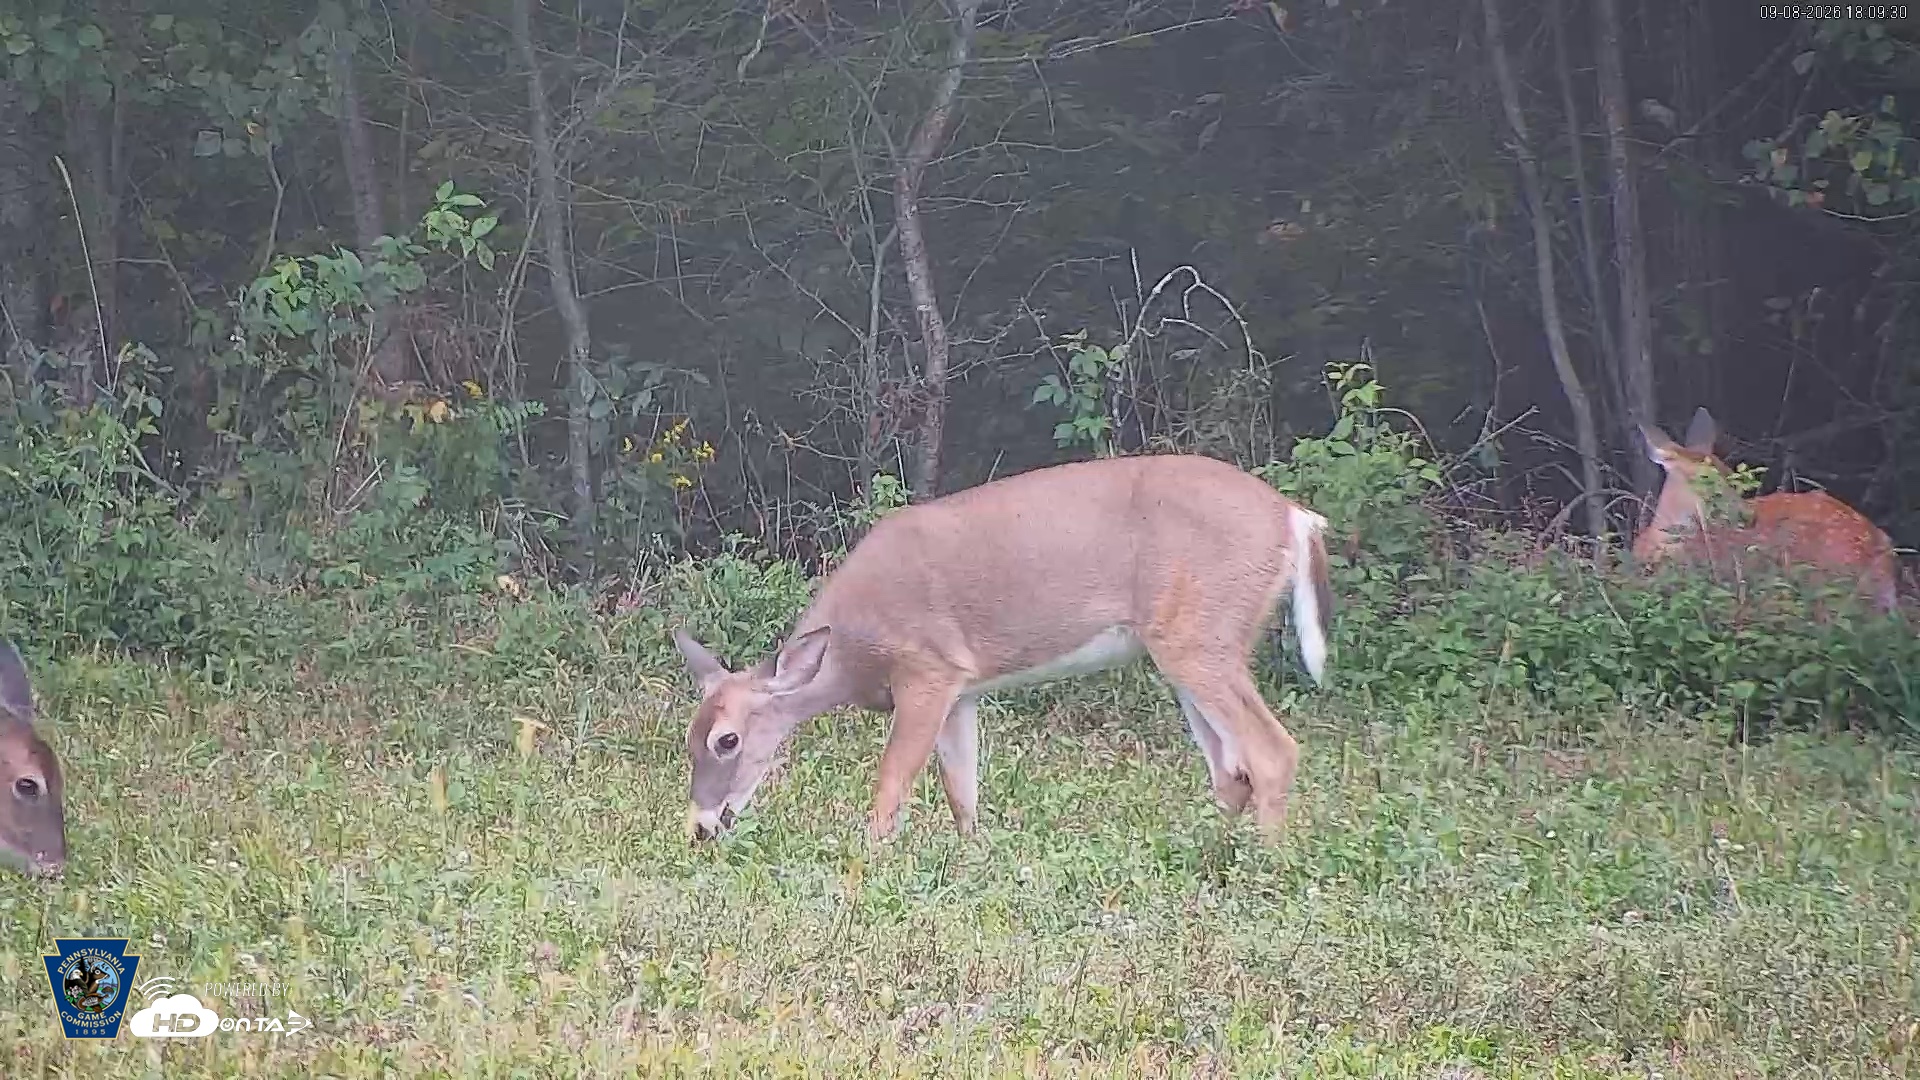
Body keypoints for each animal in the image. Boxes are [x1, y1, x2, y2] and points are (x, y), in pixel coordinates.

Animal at [670, 453, 1334, 847]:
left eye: (726, 740)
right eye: (687, 739)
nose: (701, 827)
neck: (855, 651)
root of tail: (1295, 518)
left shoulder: (927, 669)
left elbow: (892, 784)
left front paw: (867, 861)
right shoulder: (961, 689)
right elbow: (962, 792)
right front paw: (973, 856)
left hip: (1202, 633)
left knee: (1272, 753)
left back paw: (1263, 866)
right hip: (1190, 644)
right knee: (1231, 772)